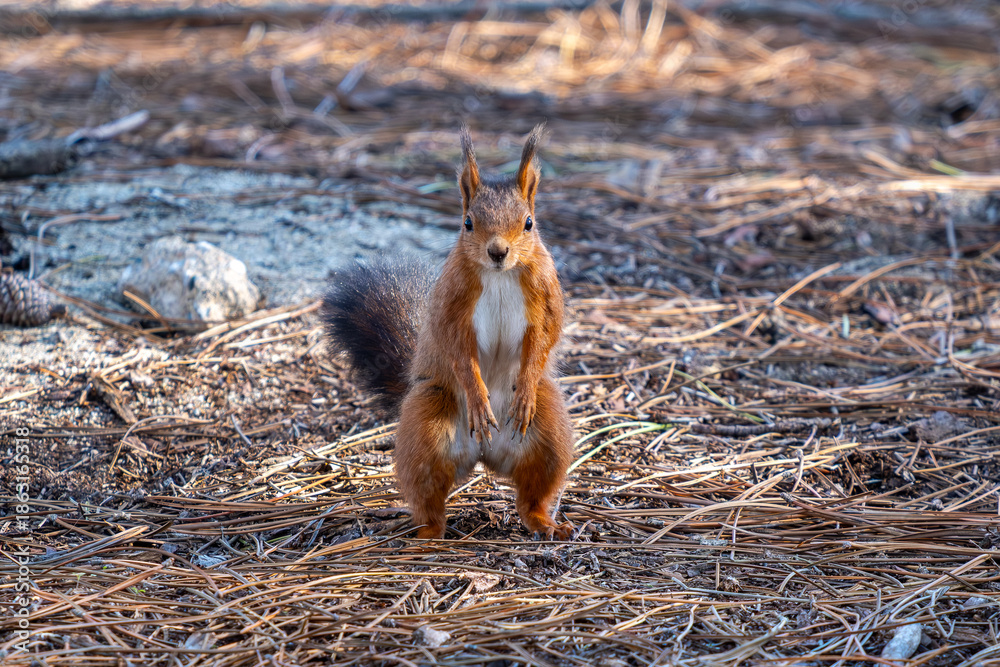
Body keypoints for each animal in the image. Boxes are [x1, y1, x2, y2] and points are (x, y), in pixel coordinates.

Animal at [323, 124, 574, 541]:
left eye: (529, 223)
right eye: (467, 222)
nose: (497, 252)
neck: (499, 276)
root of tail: (485, 455)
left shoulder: (546, 296)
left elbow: (544, 338)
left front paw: (524, 388)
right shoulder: (451, 305)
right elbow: (457, 351)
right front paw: (477, 397)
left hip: (549, 430)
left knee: (532, 494)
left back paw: (545, 522)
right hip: (427, 421)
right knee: (428, 497)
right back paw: (428, 536)